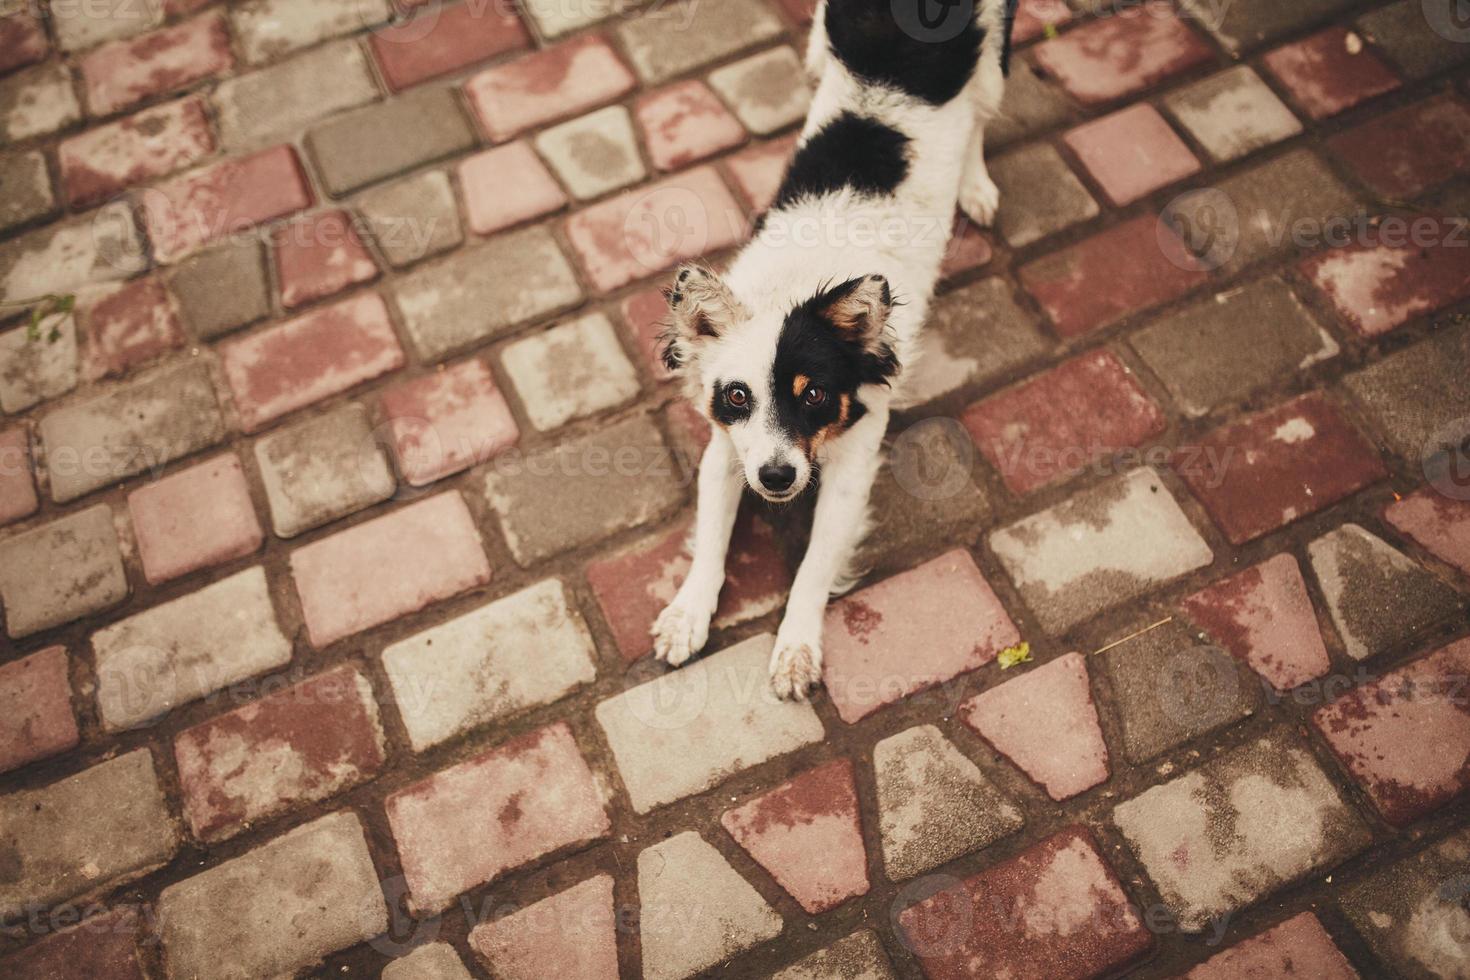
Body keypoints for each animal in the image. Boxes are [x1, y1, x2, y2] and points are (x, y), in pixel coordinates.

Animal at [652, 0, 1011, 696]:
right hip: (822, 41)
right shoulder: (727, 450)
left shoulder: (853, 466)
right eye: (737, 396)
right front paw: (687, 613)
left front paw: (796, 646)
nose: (776, 478)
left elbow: (815, 566)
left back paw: (977, 185)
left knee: (983, 115)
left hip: (994, 59)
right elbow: (710, 539)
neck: (802, 281)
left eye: (815, 395)